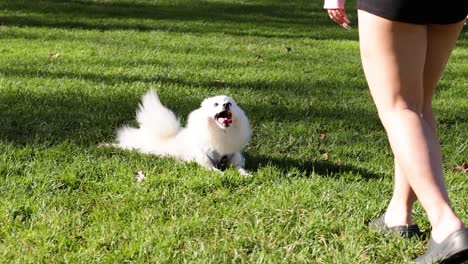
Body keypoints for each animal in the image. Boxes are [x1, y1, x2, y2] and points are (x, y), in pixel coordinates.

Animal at [114, 89, 252, 175]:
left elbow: (240, 168)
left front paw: (246, 175)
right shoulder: (204, 159)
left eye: (230, 104)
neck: (222, 133)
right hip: (138, 147)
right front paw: (221, 173)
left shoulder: (234, 158)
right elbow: (211, 168)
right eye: (216, 104)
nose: (226, 105)